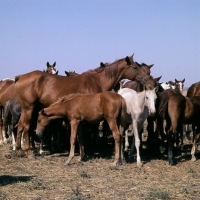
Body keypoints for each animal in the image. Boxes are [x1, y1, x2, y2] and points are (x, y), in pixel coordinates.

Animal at [15, 54, 158, 158]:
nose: (149, 81)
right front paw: (84, 151)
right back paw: (29, 151)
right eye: (135, 67)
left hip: (27, 109)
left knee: (21, 125)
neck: (97, 81)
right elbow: (85, 132)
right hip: (29, 108)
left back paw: (18, 148)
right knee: (26, 126)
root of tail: (20, 77)